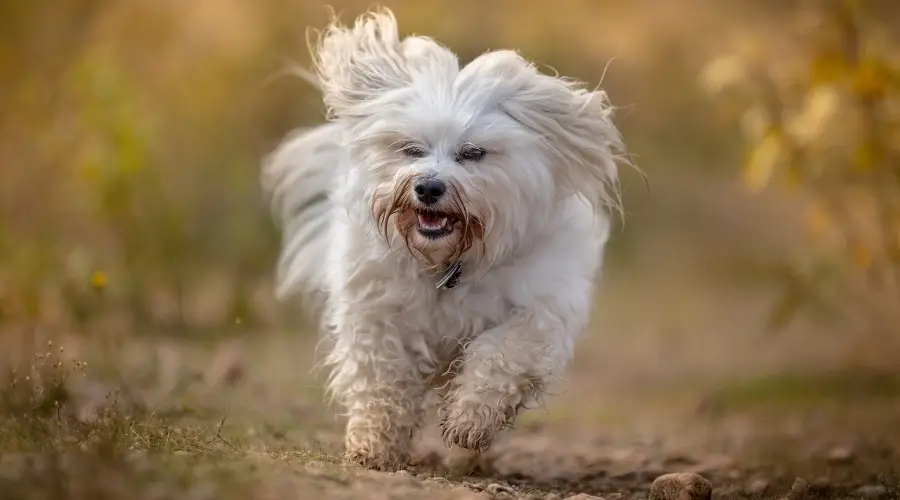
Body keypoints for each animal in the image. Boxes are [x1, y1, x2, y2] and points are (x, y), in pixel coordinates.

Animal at [260, 7, 624, 470]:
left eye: (473, 153)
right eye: (411, 149)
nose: (429, 187)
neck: (447, 262)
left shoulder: (540, 311)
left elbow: (503, 356)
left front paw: (469, 419)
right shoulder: (376, 313)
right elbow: (381, 380)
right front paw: (373, 446)